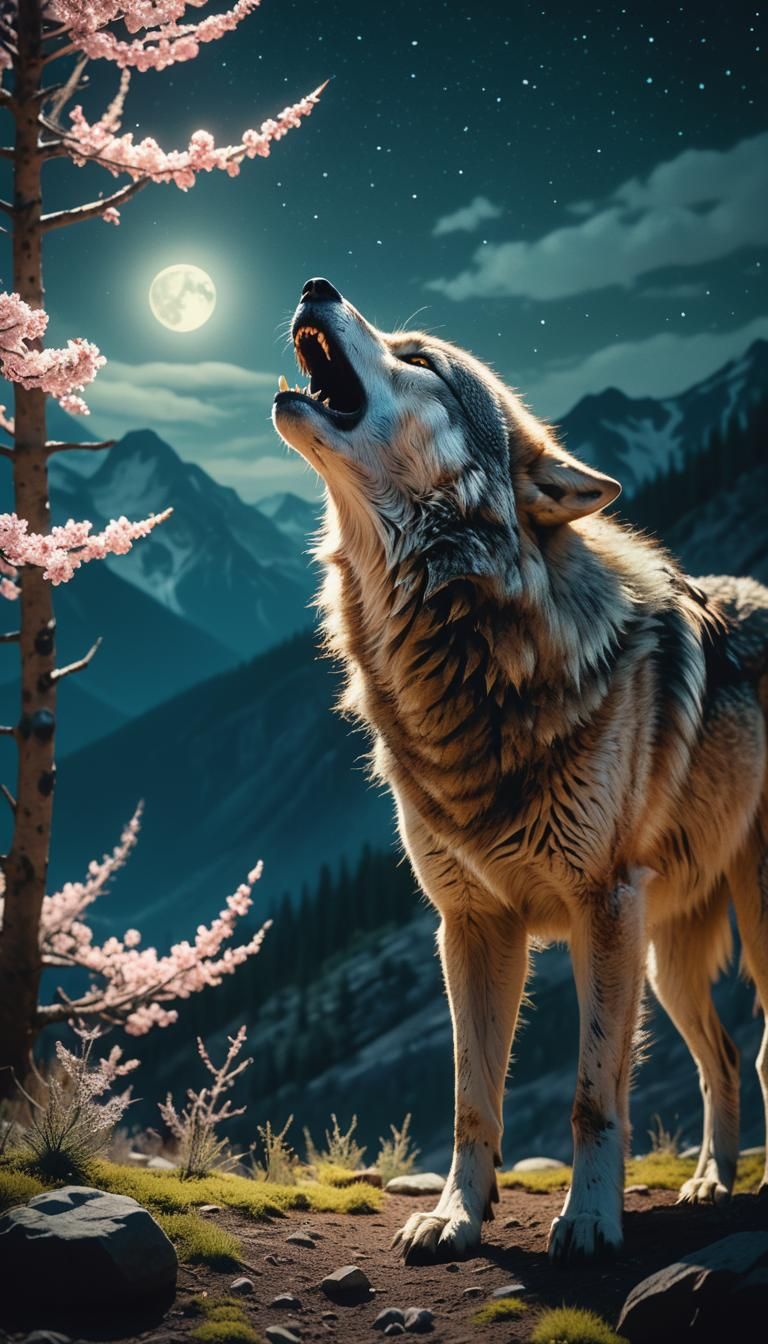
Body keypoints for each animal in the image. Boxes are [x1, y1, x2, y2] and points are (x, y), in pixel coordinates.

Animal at [271, 276, 768, 1264]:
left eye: (420, 357)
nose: (315, 285)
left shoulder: (601, 907)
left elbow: (591, 1096)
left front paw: (589, 1221)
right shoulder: (469, 924)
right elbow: (472, 1098)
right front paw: (454, 1218)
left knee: (762, 1051)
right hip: (670, 953)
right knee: (727, 1055)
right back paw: (708, 1181)